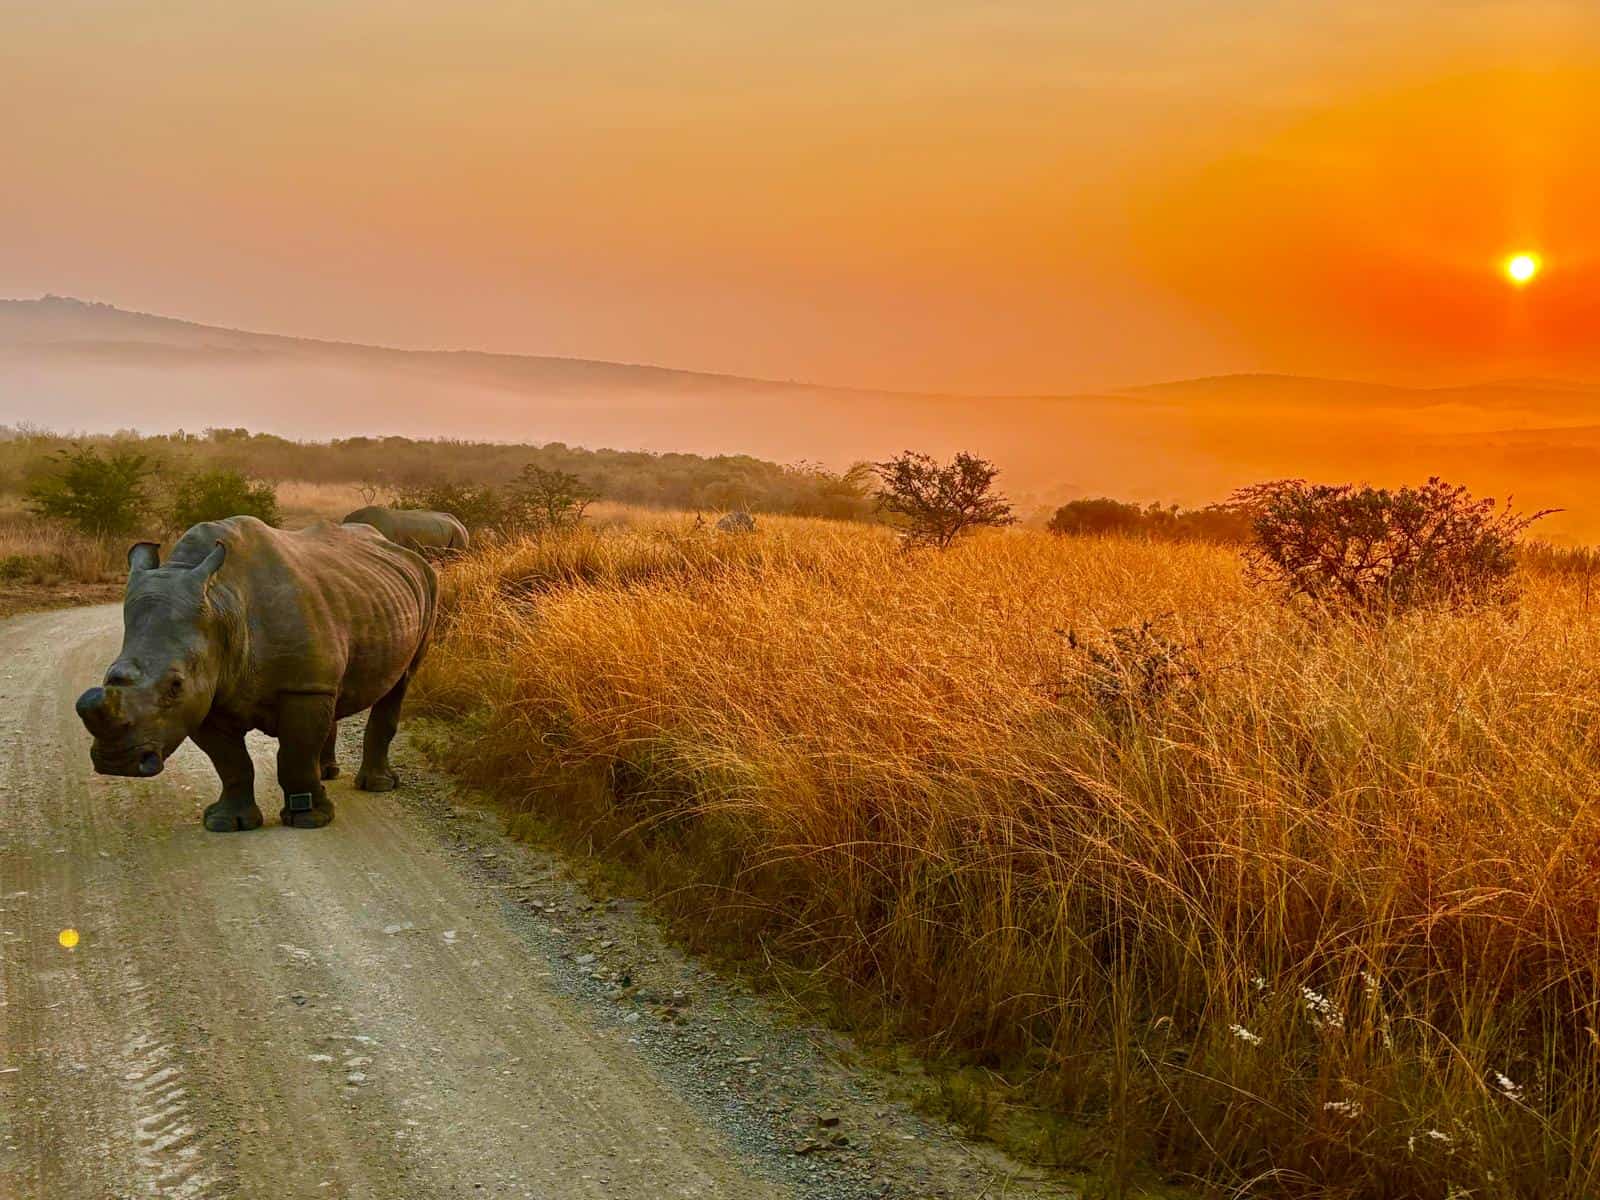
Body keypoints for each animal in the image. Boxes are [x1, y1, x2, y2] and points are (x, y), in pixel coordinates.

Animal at [74, 516, 437, 832]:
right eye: (108, 674)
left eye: (175, 685)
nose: (116, 763)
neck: (223, 603)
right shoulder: (206, 694)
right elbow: (231, 763)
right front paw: (227, 823)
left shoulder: (300, 688)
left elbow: (294, 753)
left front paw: (311, 820)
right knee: (334, 691)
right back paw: (327, 773)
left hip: (427, 583)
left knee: (400, 683)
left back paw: (377, 785)